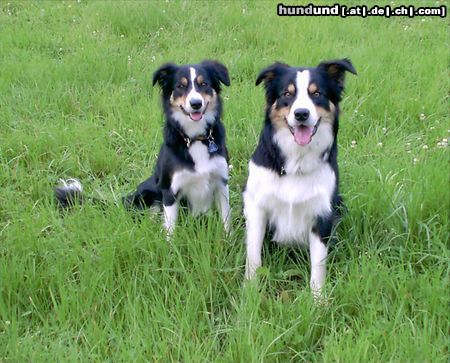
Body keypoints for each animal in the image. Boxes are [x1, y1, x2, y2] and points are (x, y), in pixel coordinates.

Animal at [56, 61, 232, 235]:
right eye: (180, 86)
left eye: (204, 84)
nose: (196, 104)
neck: (194, 139)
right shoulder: (170, 190)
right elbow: (171, 229)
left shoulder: (221, 183)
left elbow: (226, 219)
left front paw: (227, 239)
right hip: (148, 195)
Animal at [244, 59, 356, 298]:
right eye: (287, 93)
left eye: (317, 93)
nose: (301, 114)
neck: (296, 162)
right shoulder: (256, 206)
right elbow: (253, 256)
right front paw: (249, 293)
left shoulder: (322, 213)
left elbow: (318, 266)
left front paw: (318, 300)